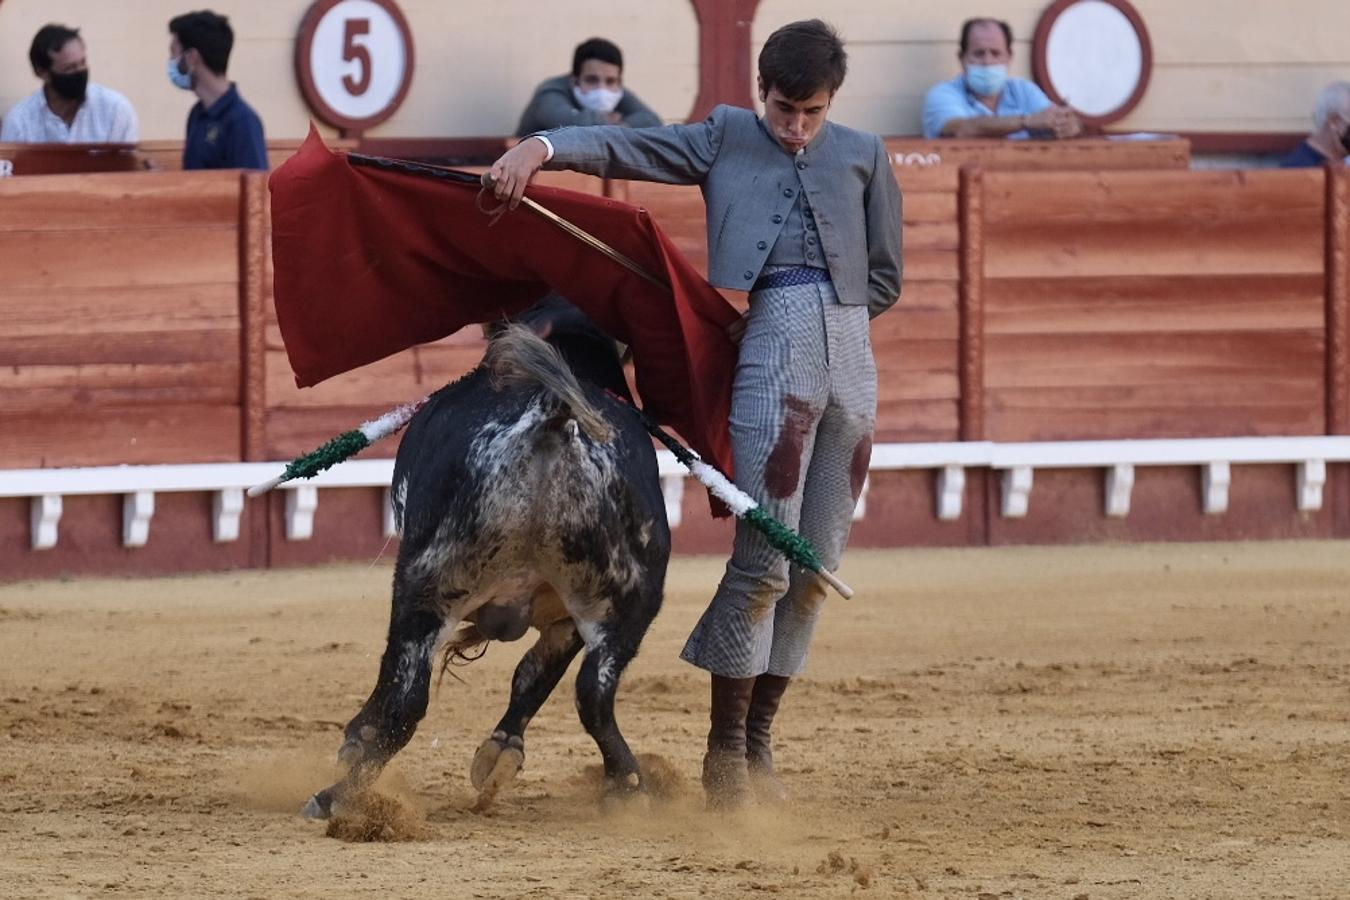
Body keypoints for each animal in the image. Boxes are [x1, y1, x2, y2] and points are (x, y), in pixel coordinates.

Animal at [301, 299, 669, 820]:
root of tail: (554, 417)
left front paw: (357, 739)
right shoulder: (568, 619)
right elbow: (534, 676)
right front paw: (501, 753)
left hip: (427, 582)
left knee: (407, 694)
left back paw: (339, 795)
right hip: (630, 600)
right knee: (594, 695)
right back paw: (628, 786)